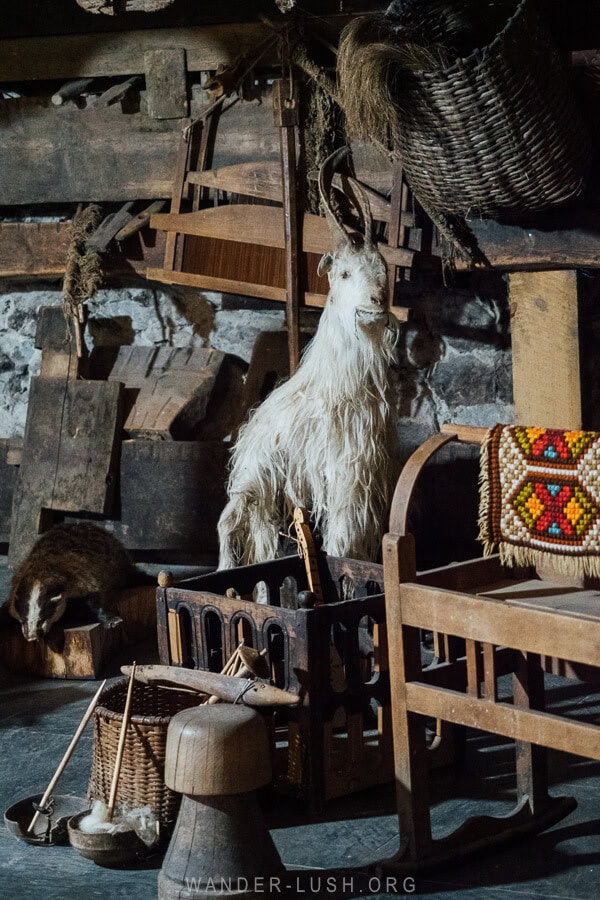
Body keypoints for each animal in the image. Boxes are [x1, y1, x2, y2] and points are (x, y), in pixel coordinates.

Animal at [218, 148, 400, 568]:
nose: (377, 302)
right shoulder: (343, 472)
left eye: (383, 270)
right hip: (253, 478)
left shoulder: (360, 476)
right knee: (227, 524)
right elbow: (342, 540)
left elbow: (347, 541)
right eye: (345, 273)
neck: (338, 384)